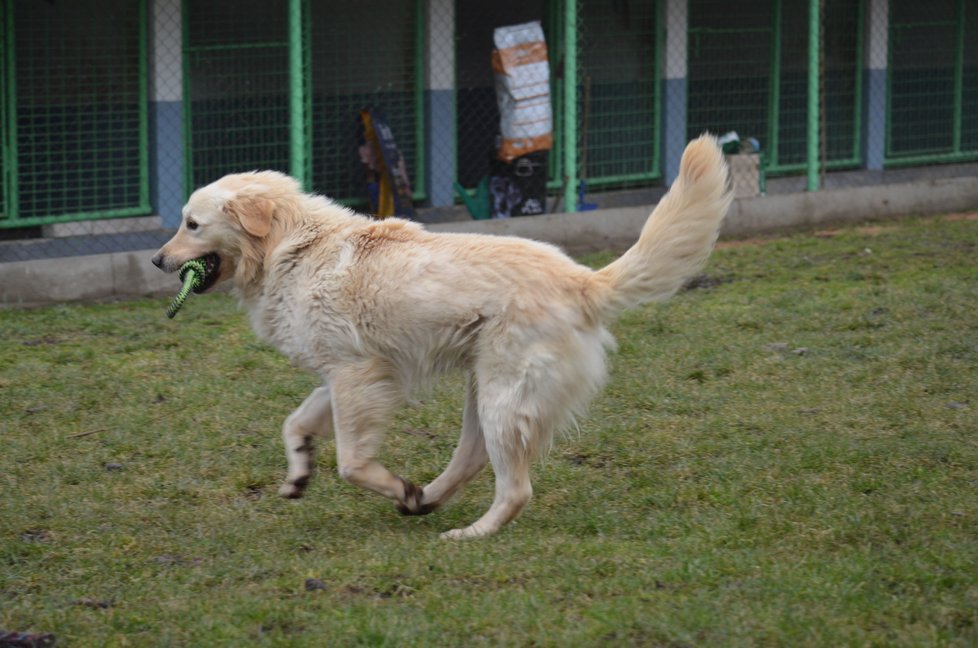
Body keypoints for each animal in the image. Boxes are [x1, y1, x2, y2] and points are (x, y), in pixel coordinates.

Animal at [152, 135, 728, 536]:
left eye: (192, 224)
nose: (157, 260)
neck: (290, 246)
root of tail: (584, 280)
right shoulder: (344, 375)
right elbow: (294, 423)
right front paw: (299, 472)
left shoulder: (357, 377)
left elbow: (351, 463)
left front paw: (385, 484)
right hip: (484, 394)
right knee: (471, 461)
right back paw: (424, 498)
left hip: (503, 398)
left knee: (515, 489)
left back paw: (468, 532)